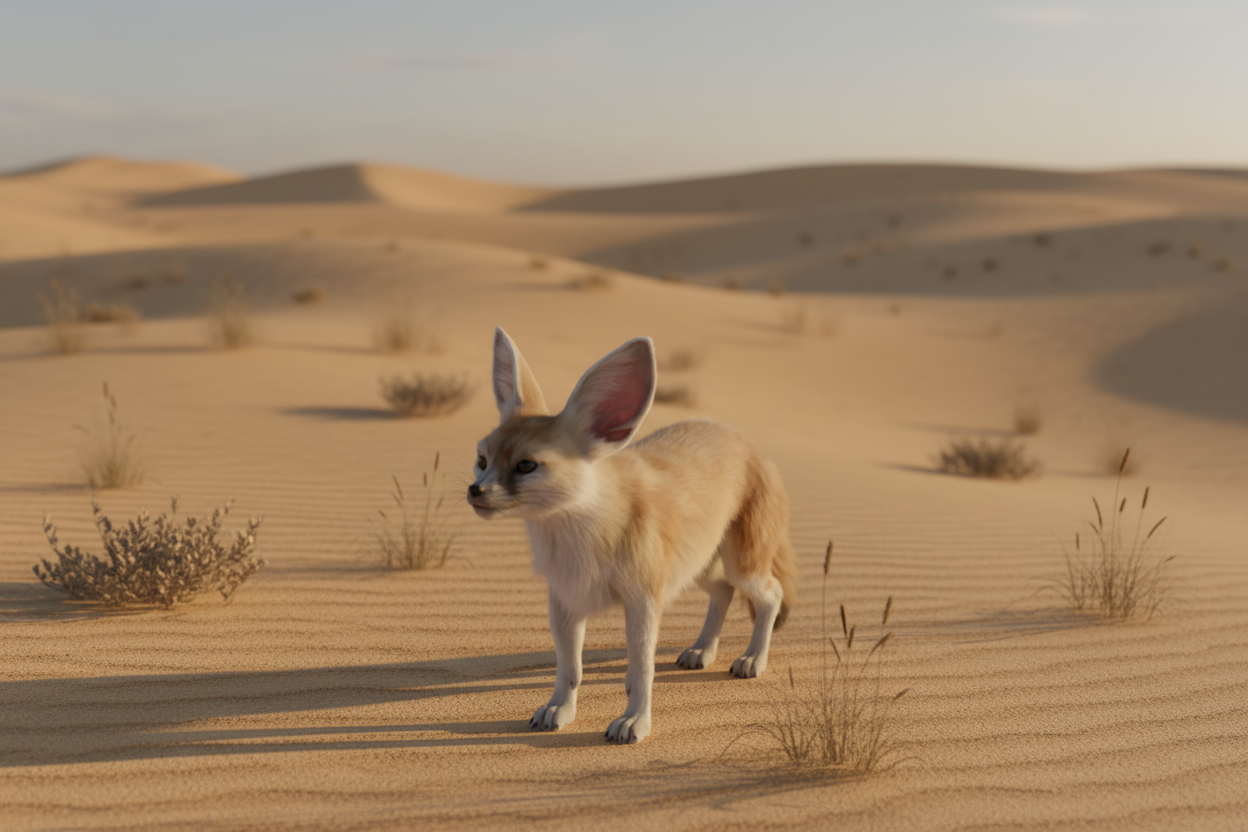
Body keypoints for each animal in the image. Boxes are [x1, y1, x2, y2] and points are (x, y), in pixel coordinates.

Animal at [467, 328, 797, 744]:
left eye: (526, 465)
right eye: (482, 461)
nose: (474, 491)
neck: (583, 536)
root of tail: (744, 439)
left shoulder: (642, 600)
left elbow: (641, 670)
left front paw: (634, 721)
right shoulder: (565, 600)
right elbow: (569, 668)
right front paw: (559, 709)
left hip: (741, 565)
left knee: (772, 594)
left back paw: (753, 658)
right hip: (697, 566)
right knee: (722, 592)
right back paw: (702, 650)